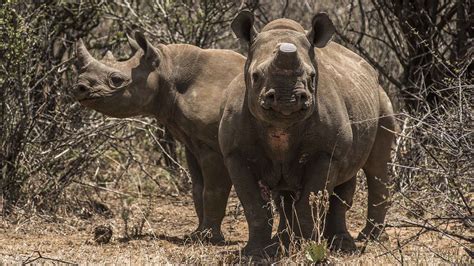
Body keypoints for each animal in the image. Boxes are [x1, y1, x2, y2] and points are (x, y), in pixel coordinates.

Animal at [73, 32, 248, 243]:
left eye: (116, 79)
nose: (79, 88)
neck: (166, 70)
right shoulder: (192, 142)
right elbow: (198, 189)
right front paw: (195, 235)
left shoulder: (212, 146)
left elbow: (213, 191)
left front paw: (208, 239)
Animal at [219, 11, 396, 256]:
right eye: (255, 76)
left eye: (312, 76)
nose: (288, 99)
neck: (281, 128)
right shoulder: (235, 154)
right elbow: (254, 206)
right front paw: (256, 253)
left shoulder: (325, 153)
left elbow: (309, 202)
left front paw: (307, 248)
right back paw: (284, 242)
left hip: (382, 100)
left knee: (376, 167)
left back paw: (364, 239)